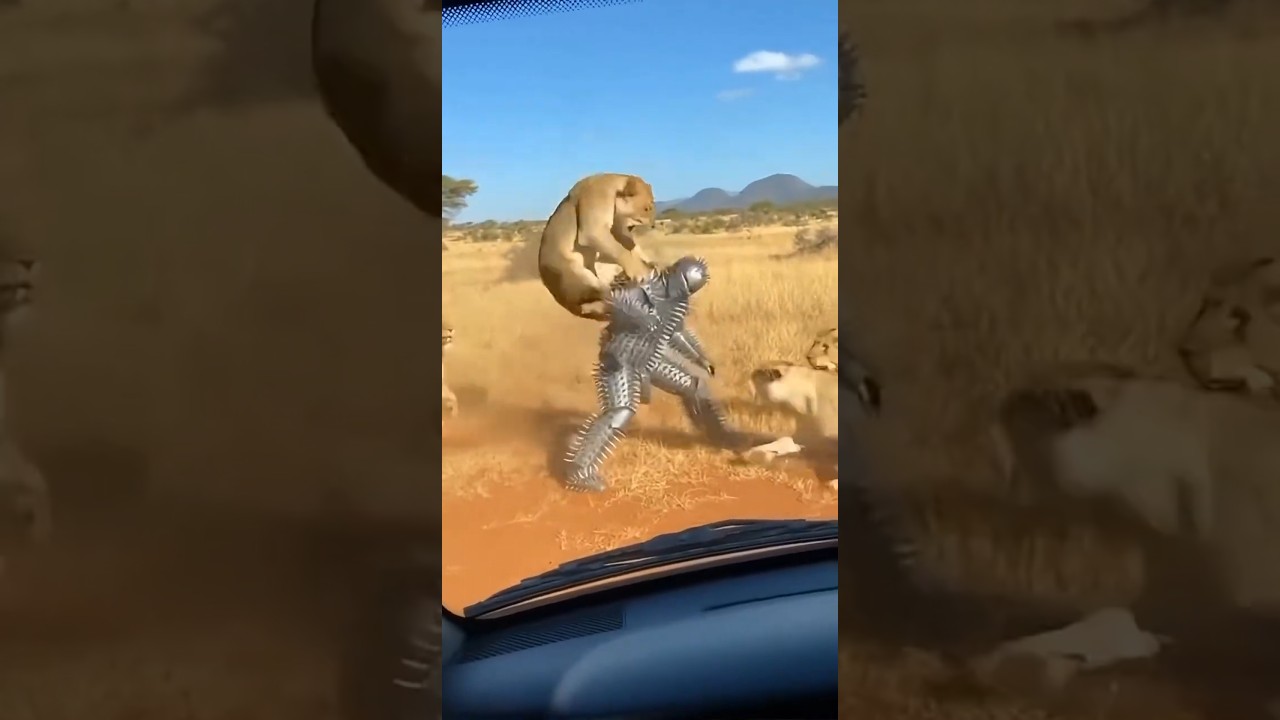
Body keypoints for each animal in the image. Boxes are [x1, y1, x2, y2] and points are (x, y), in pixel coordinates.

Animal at [537, 173, 658, 321]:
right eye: (646, 208)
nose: (653, 225)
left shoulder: (616, 230)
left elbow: (631, 246)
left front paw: (650, 261)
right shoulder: (593, 229)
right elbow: (622, 251)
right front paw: (641, 271)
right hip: (578, 274)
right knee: (605, 297)